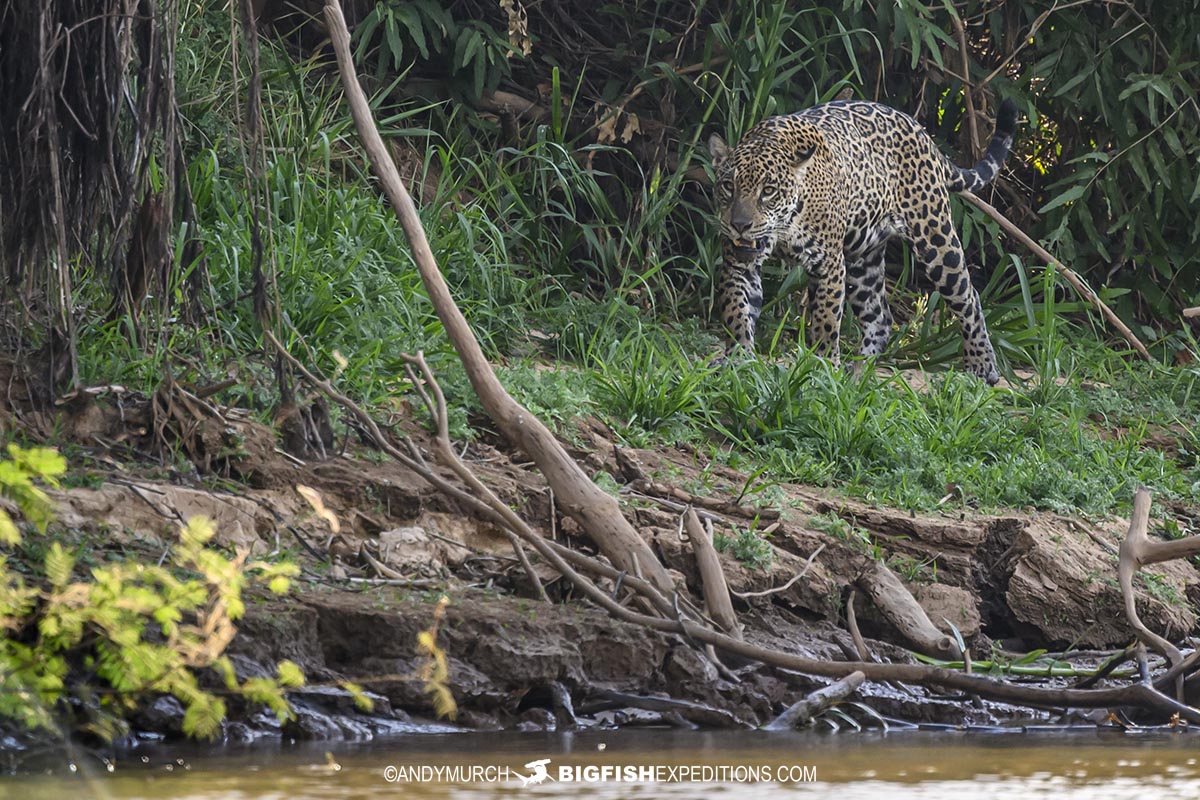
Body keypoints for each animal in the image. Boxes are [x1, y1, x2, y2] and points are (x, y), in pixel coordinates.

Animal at [708, 98, 1017, 385]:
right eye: (728, 186)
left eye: (769, 191)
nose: (740, 225)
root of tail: (921, 132)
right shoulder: (738, 264)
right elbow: (736, 313)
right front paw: (737, 361)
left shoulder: (829, 264)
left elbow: (826, 321)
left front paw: (822, 368)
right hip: (863, 259)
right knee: (880, 318)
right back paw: (857, 371)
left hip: (935, 238)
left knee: (968, 296)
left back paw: (982, 366)